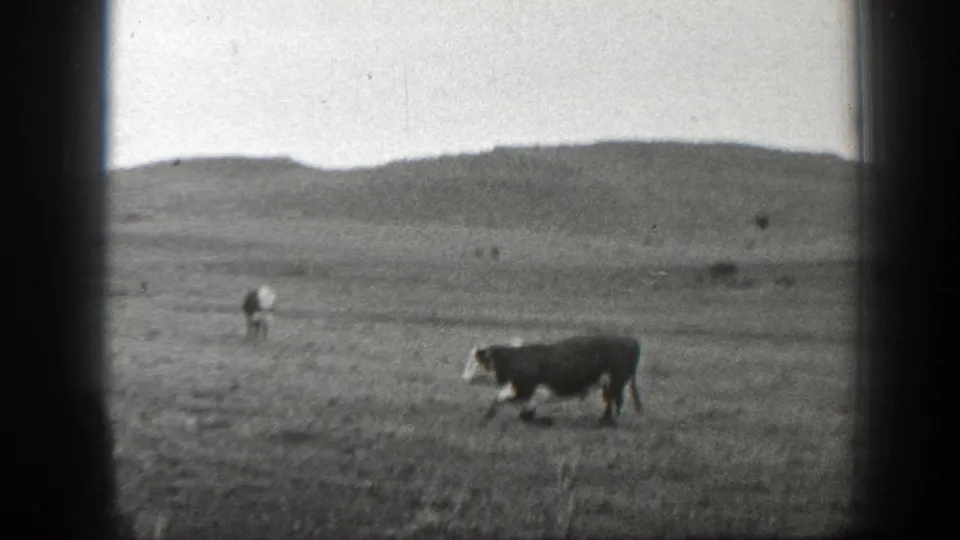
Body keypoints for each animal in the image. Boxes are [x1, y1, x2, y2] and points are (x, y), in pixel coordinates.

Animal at [473, 335, 644, 427]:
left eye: (489, 361)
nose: (495, 376)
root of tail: (631, 340)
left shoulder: (526, 390)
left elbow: (501, 400)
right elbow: (519, 408)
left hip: (616, 381)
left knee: (616, 402)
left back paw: (609, 423)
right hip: (610, 384)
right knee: (610, 401)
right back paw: (603, 421)